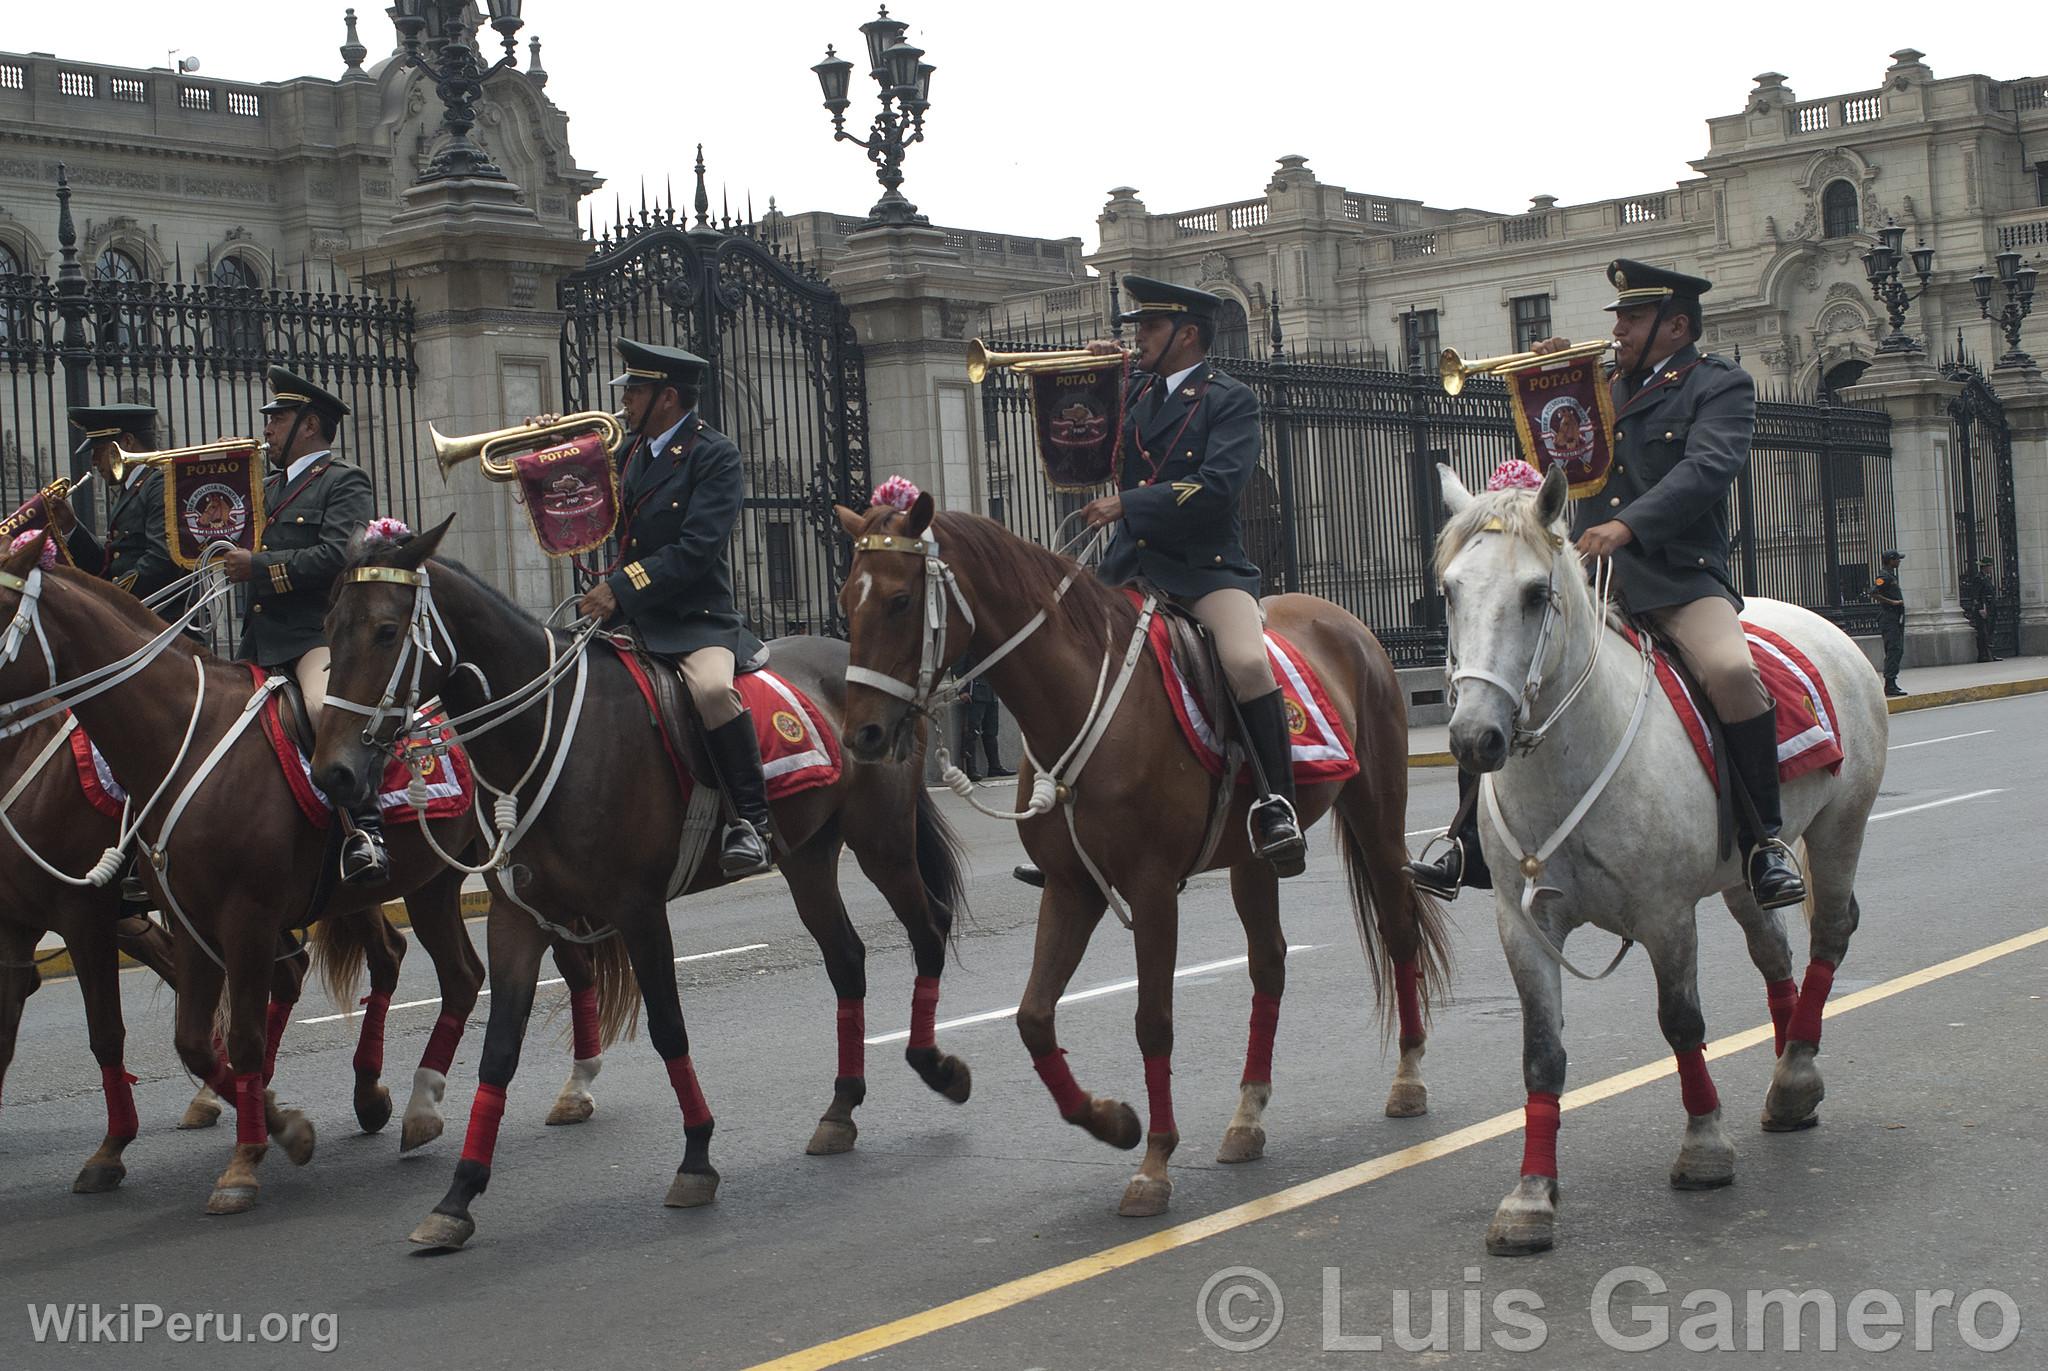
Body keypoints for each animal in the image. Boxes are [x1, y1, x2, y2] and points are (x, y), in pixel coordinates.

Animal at [0, 541, 630, 1213]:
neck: (179, 741)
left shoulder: (196, 917)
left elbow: (215, 1036)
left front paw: (253, 1152)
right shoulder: (167, 916)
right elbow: (188, 1037)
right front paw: (268, 1120)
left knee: (566, 963)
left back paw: (571, 1088)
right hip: (427, 882)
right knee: (453, 974)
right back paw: (405, 1105)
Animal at [311, 520, 966, 1254]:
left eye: (386, 630)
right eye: (330, 625)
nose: (334, 772)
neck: (545, 732)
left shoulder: (639, 909)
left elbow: (668, 1027)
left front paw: (697, 1158)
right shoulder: (520, 916)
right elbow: (498, 1051)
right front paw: (457, 1196)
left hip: (882, 841)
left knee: (928, 927)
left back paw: (936, 1065)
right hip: (807, 858)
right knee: (847, 958)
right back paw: (840, 1108)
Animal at [835, 493, 1458, 1221]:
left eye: (901, 600)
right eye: (846, 599)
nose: (861, 735)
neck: (1083, 697)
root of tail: (1347, 622)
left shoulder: (1153, 889)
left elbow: (1152, 1021)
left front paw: (1155, 1162)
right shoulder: (1071, 888)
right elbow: (1034, 1019)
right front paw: (1112, 1120)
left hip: (1377, 818)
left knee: (1398, 931)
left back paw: (1408, 1078)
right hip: (1251, 859)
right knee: (1269, 963)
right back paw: (1247, 1115)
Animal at [1441, 465, 1884, 1254]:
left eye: (1535, 593)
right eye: (1450, 591)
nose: (1473, 739)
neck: (1568, 762)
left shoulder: (1666, 915)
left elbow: (1681, 1022)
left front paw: (1704, 1146)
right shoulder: (1523, 926)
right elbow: (1540, 1049)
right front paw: (1532, 1195)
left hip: (1841, 829)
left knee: (1830, 934)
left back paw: (1797, 1068)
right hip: (1744, 870)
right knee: (1775, 954)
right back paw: (1788, 1078)